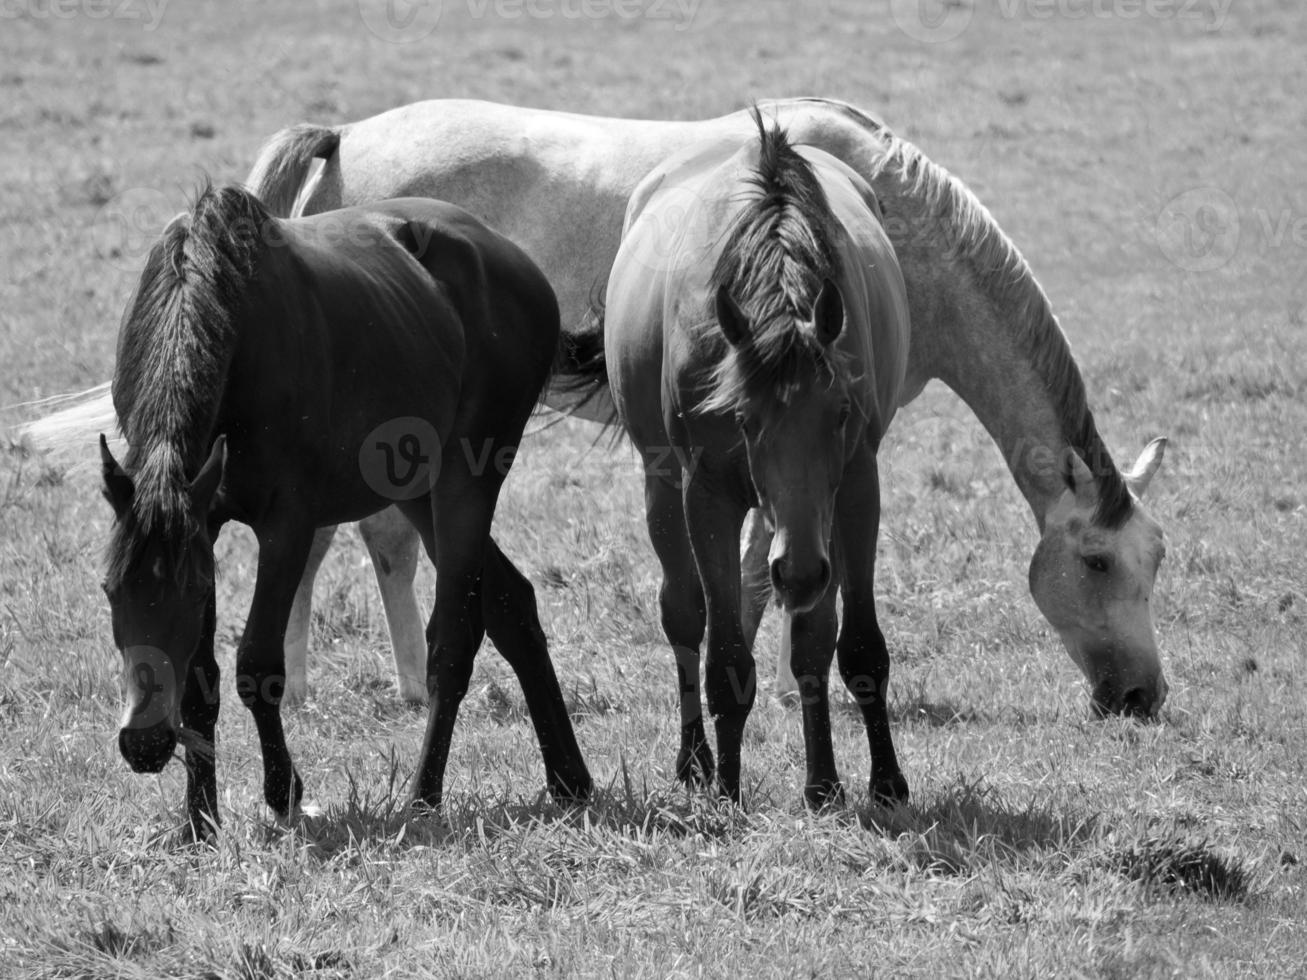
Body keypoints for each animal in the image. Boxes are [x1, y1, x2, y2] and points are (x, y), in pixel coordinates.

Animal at [93, 184, 588, 836]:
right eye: (109, 590)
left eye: (193, 591)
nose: (145, 744)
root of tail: (520, 266)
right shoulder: (202, 520)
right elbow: (201, 682)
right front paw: (199, 821)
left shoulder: (288, 525)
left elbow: (258, 663)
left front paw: (283, 793)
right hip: (416, 490)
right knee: (512, 602)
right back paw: (569, 778)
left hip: (466, 481)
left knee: (454, 639)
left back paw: (424, 798)